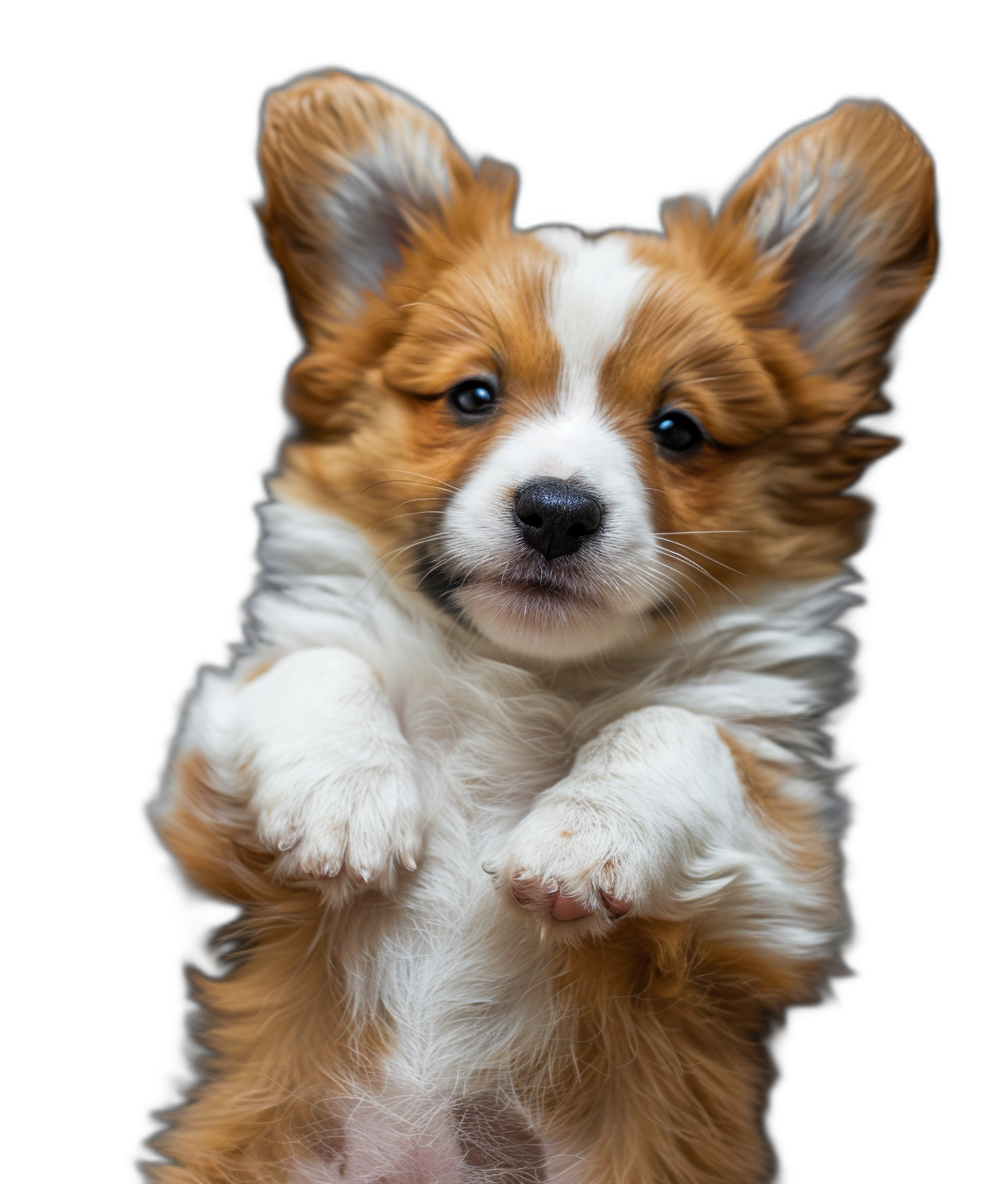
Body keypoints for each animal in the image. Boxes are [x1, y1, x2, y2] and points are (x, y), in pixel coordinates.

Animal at [148, 74, 938, 1184]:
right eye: (473, 395)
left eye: (677, 430)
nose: (558, 510)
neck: (522, 670)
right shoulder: (206, 794)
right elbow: (319, 662)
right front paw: (347, 806)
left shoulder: (786, 889)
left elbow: (675, 730)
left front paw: (579, 838)